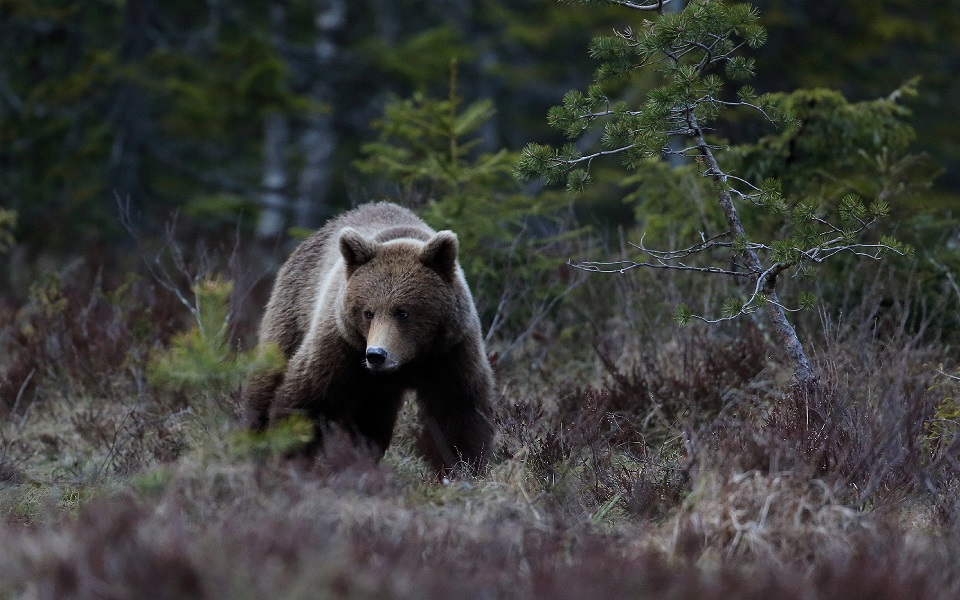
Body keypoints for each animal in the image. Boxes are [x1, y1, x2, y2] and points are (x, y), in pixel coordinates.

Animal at [244, 204, 496, 476]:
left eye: (403, 312)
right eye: (368, 312)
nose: (376, 355)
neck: (408, 363)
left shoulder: (450, 352)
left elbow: (458, 412)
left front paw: (463, 468)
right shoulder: (342, 346)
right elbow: (306, 398)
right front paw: (289, 458)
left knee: (371, 421)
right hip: (294, 310)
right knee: (269, 377)